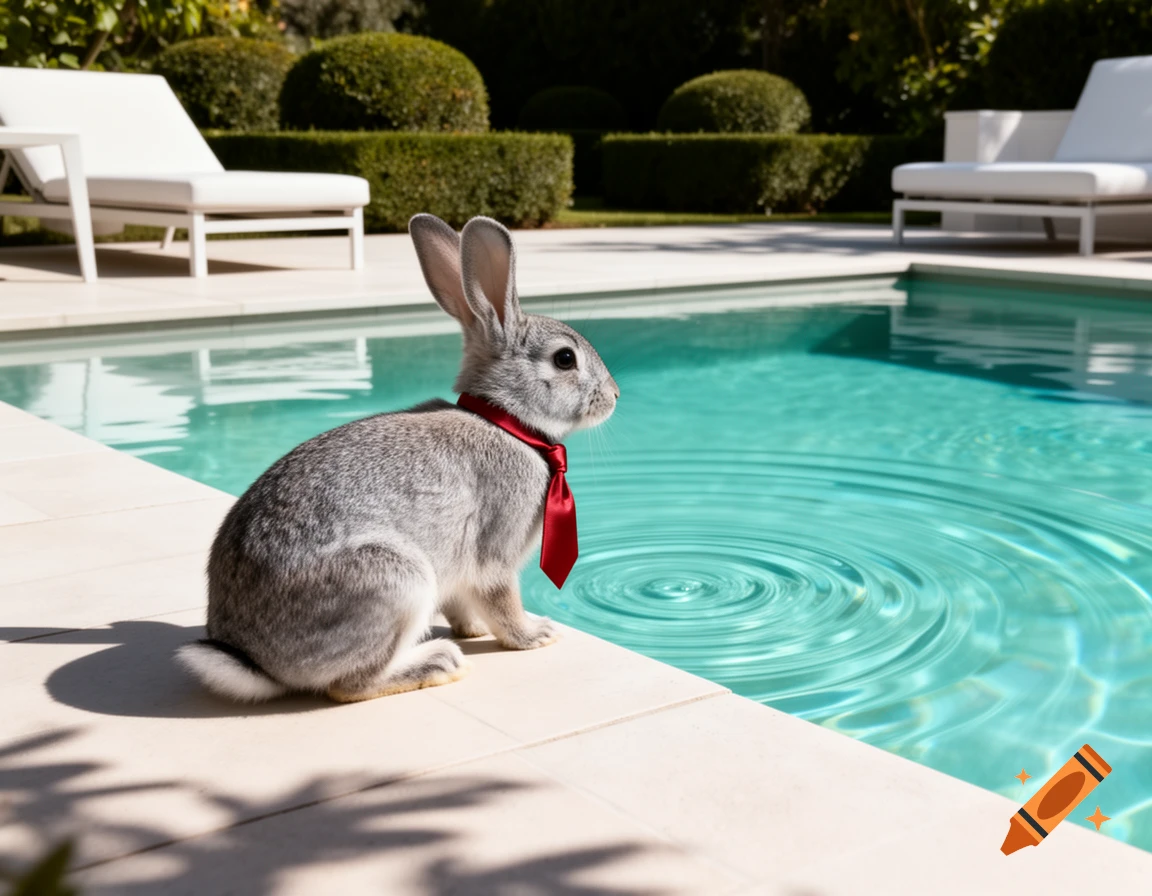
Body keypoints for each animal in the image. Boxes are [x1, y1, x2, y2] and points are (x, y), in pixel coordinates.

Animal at [176, 214, 619, 703]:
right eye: (565, 359)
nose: (615, 396)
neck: (505, 422)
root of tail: (256, 662)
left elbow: (465, 604)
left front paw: (473, 630)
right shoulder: (495, 553)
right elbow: (501, 600)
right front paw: (536, 635)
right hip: (397, 582)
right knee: (349, 686)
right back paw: (438, 663)